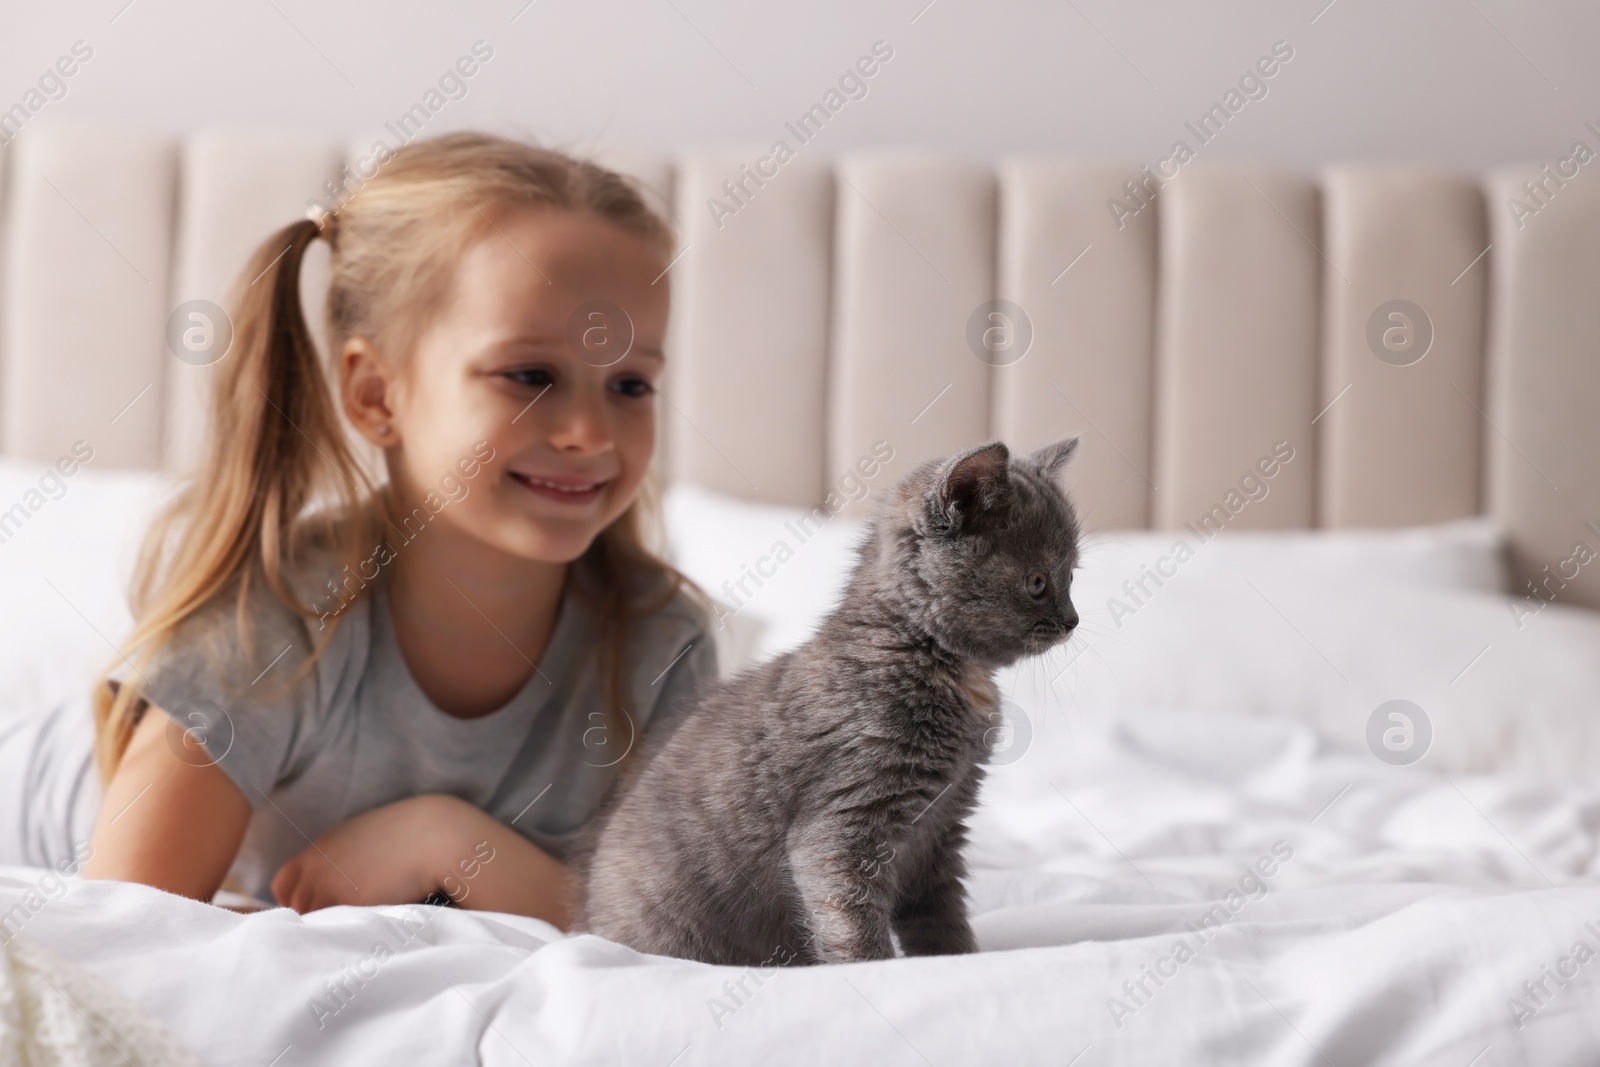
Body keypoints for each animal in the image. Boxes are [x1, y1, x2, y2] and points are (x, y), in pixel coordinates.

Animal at [582, 438, 1081, 966]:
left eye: (1072, 576)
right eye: (1037, 582)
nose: (1073, 620)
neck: (939, 664)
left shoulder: (940, 832)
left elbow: (940, 918)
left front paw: (956, 961)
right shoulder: (845, 820)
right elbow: (850, 919)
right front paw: (873, 970)